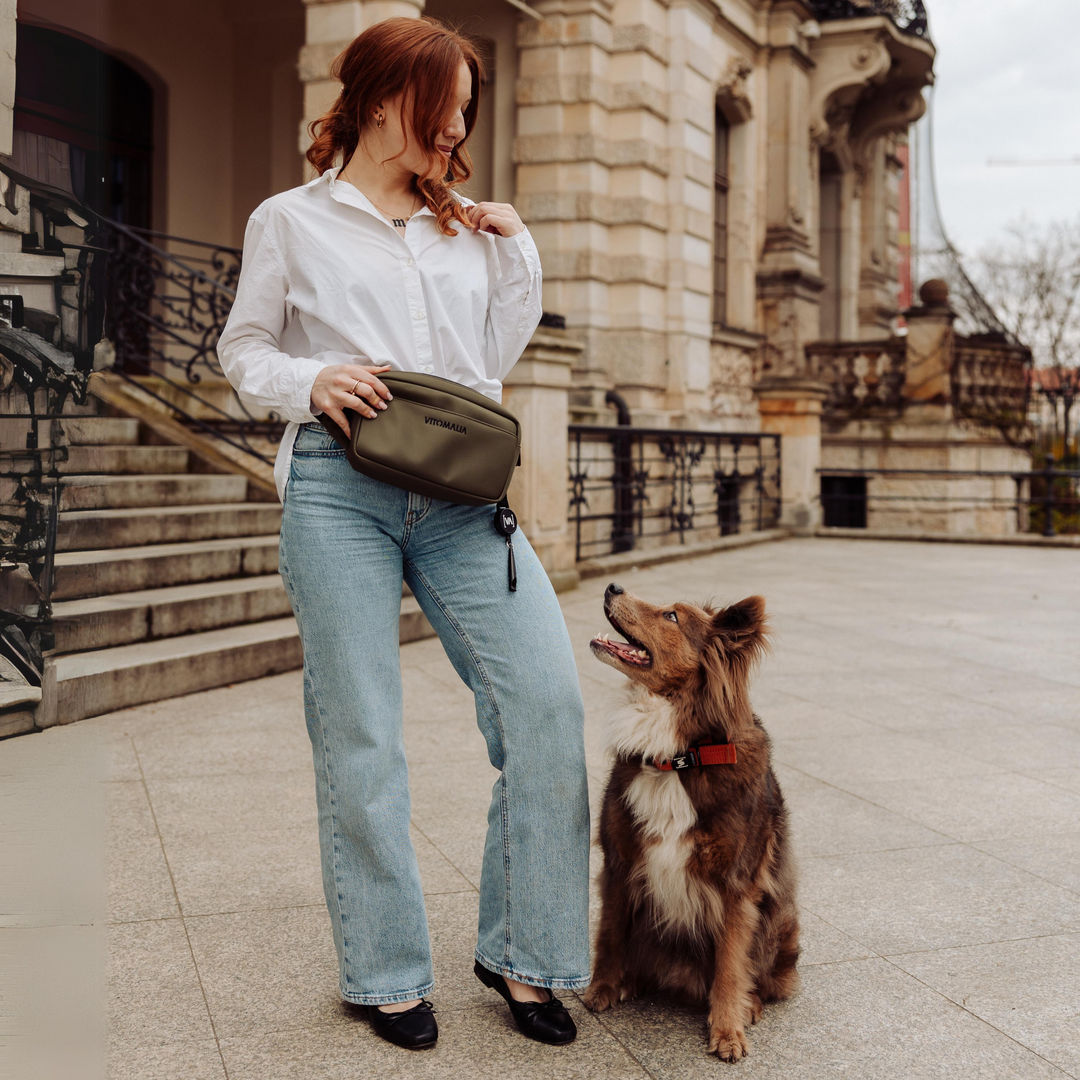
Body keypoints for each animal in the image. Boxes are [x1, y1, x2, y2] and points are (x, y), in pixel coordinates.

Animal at [587, 587, 799, 1058]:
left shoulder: (737, 884)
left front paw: (727, 1029)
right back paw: (631, 981)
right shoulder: (619, 863)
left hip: (779, 916)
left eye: (671, 616)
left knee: (766, 977)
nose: (612, 588)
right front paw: (602, 988)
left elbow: (731, 963)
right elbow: (609, 933)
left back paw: (749, 1004)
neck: (677, 758)